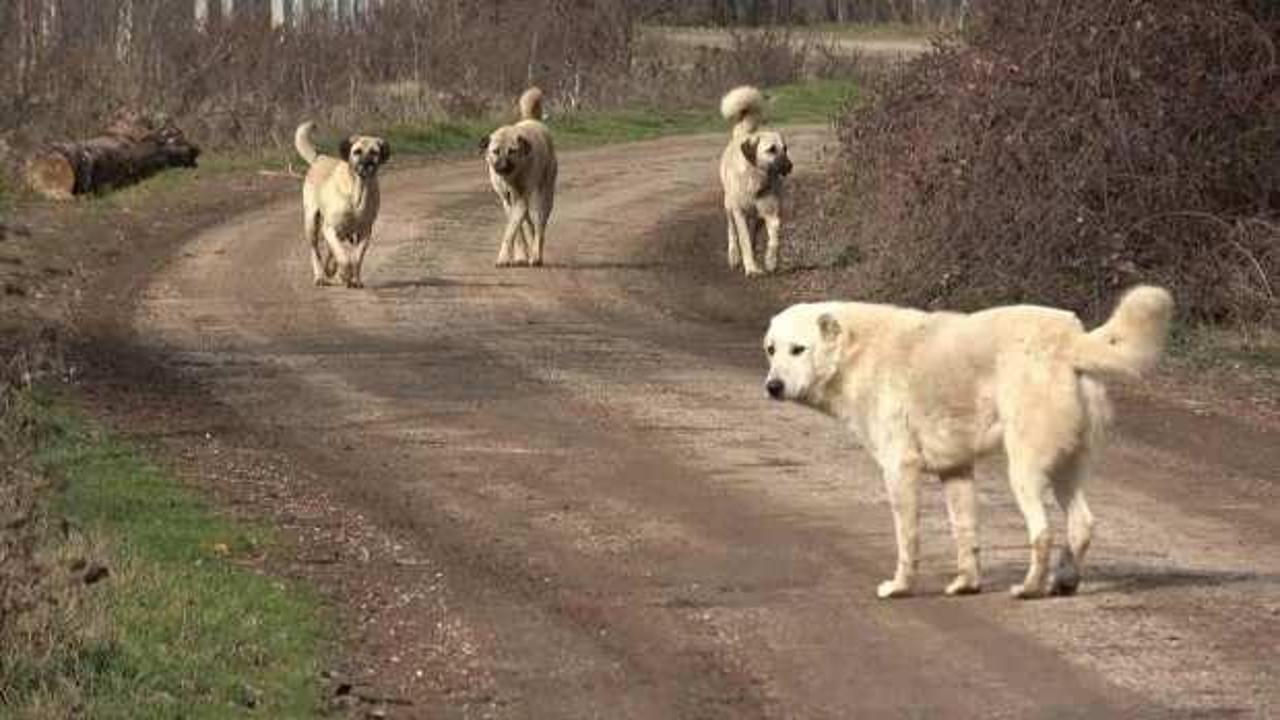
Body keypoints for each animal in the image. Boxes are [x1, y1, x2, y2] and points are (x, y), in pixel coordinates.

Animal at [295, 120, 389, 285]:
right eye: (357, 152)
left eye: (374, 152)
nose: (366, 165)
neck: (358, 190)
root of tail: (320, 157)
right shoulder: (330, 228)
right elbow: (344, 257)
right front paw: (344, 275)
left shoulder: (365, 232)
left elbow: (357, 257)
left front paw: (355, 280)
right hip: (312, 223)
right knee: (316, 251)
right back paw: (321, 275)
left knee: (331, 251)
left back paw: (331, 269)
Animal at [481, 87, 555, 266]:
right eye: (495, 151)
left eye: (512, 151)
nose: (502, 167)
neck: (511, 178)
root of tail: (533, 121)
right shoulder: (508, 202)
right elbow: (517, 232)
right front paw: (520, 256)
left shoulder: (521, 201)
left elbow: (510, 232)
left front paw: (503, 257)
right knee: (530, 227)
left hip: (542, 199)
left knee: (539, 227)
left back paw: (536, 256)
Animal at [721, 83, 788, 274]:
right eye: (771, 149)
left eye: (785, 149)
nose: (790, 166)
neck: (755, 178)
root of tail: (742, 134)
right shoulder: (740, 214)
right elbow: (742, 239)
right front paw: (751, 268)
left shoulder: (771, 213)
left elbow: (775, 239)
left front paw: (770, 261)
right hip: (729, 206)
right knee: (732, 232)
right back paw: (734, 256)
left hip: (757, 217)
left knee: (754, 234)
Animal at [762, 283, 1172, 597]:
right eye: (771, 349)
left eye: (798, 349)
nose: (772, 387)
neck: (855, 352)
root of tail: (1071, 338)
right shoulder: (956, 471)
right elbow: (965, 533)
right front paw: (966, 584)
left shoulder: (900, 470)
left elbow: (907, 539)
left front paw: (900, 587)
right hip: (1065, 468)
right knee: (1082, 525)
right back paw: (1064, 582)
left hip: (1024, 471)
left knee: (1043, 532)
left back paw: (1029, 589)